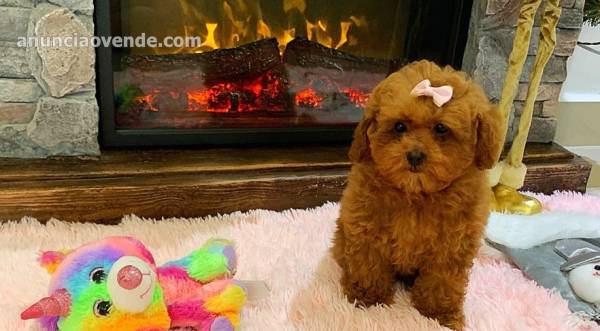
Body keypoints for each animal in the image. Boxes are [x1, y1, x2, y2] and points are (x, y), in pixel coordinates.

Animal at [332, 59, 502, 330]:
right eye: (399, 126)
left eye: (441, 129)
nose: (414, 155)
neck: (416, 193)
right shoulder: (367, 227)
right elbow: (369, 265)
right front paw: (368, 299)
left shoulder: (452, 245)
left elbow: (442, 281)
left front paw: (439, 314)